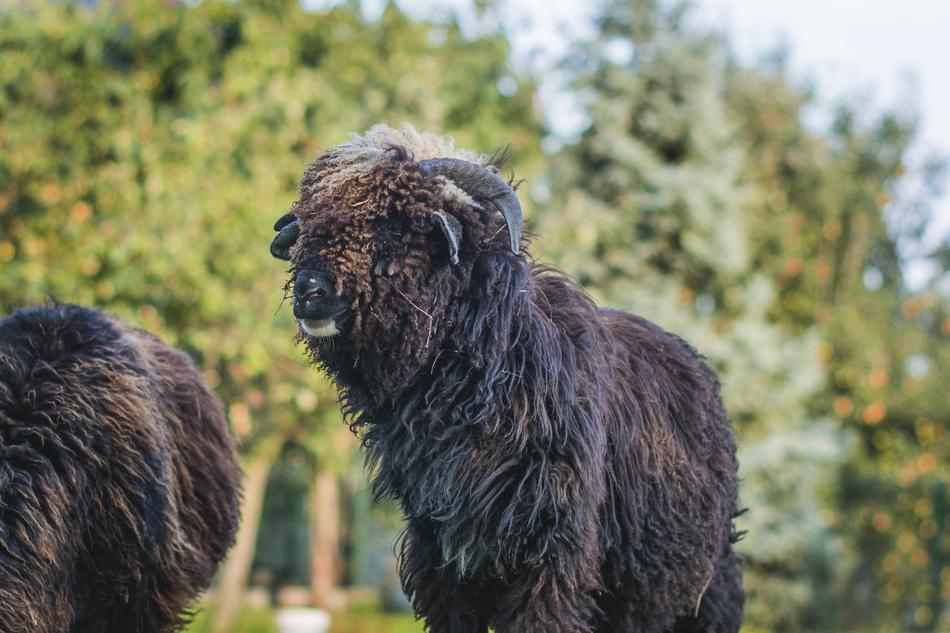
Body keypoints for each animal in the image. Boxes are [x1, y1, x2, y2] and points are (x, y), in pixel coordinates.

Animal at [270, 124, 744, 633]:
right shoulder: (440, 555)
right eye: (309, 223)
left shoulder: (552, 554)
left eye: (396, 225)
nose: (309, 293)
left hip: (703, 584)